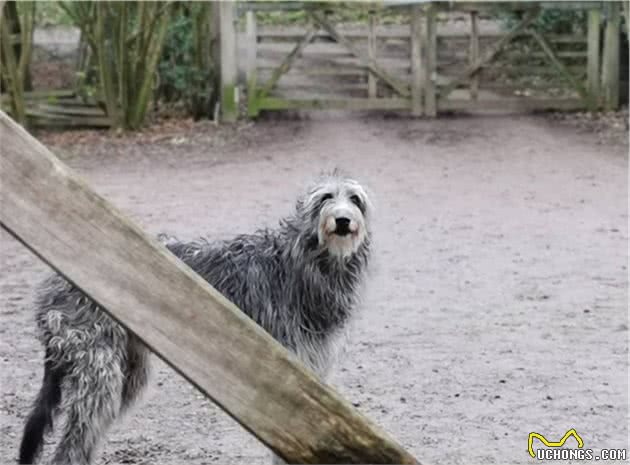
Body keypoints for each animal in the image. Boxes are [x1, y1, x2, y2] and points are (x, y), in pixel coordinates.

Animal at [19, 172, 372, 464]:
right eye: (325, 198)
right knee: (71, 447)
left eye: (356, 199)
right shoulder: (289, 373)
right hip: (98, 370)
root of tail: (51, 286)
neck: (303, 264)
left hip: (126, 372)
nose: (342, 221)